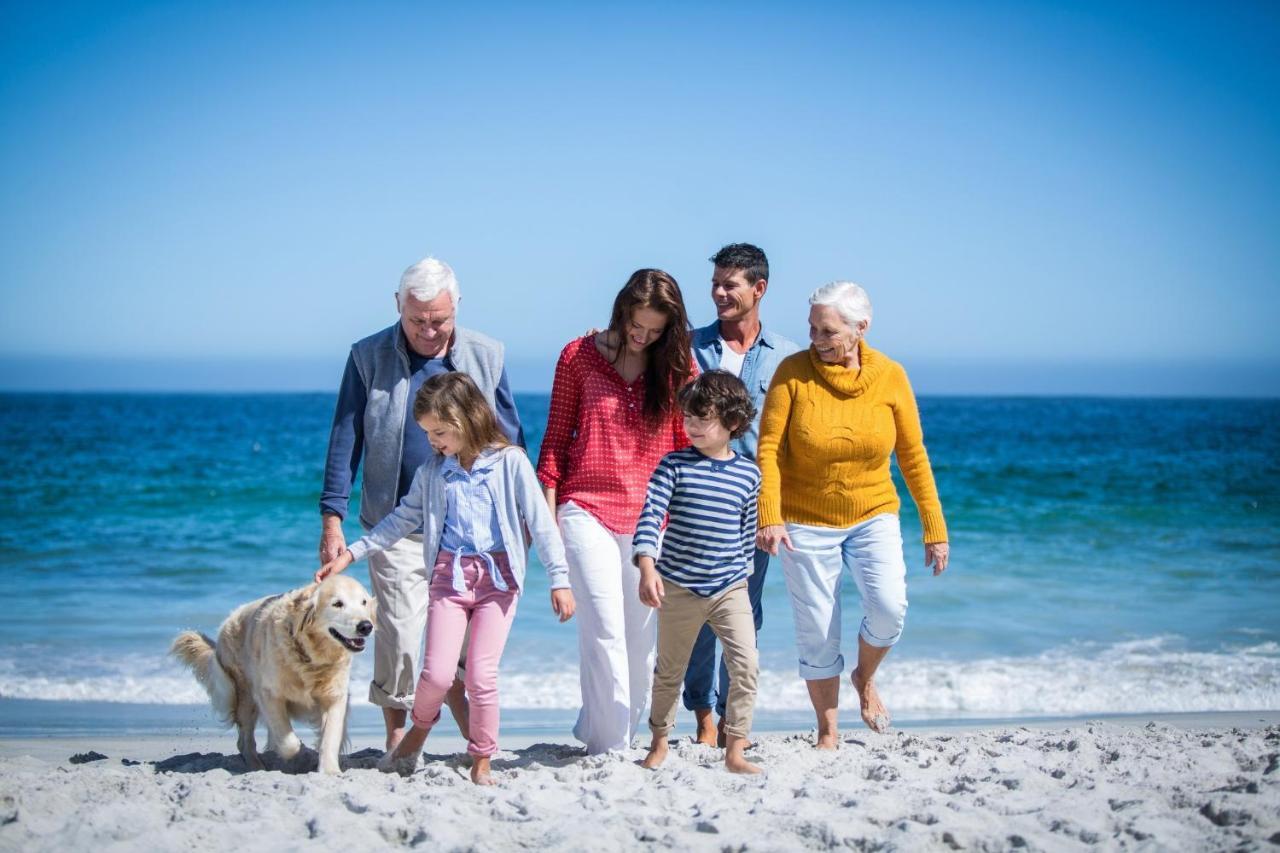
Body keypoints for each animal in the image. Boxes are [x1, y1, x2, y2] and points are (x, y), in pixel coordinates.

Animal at [170, 571, 373, 768]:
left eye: (363, 602)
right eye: (337, 604)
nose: (366, 626)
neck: (310, 656)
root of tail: (229, 618)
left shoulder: (334, 696)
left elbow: (330, 737)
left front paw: (329, 771)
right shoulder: (269, 693)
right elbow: (289, 742)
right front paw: (294, 751)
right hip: (245, 695)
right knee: (244, 741)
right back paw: (256, 766)